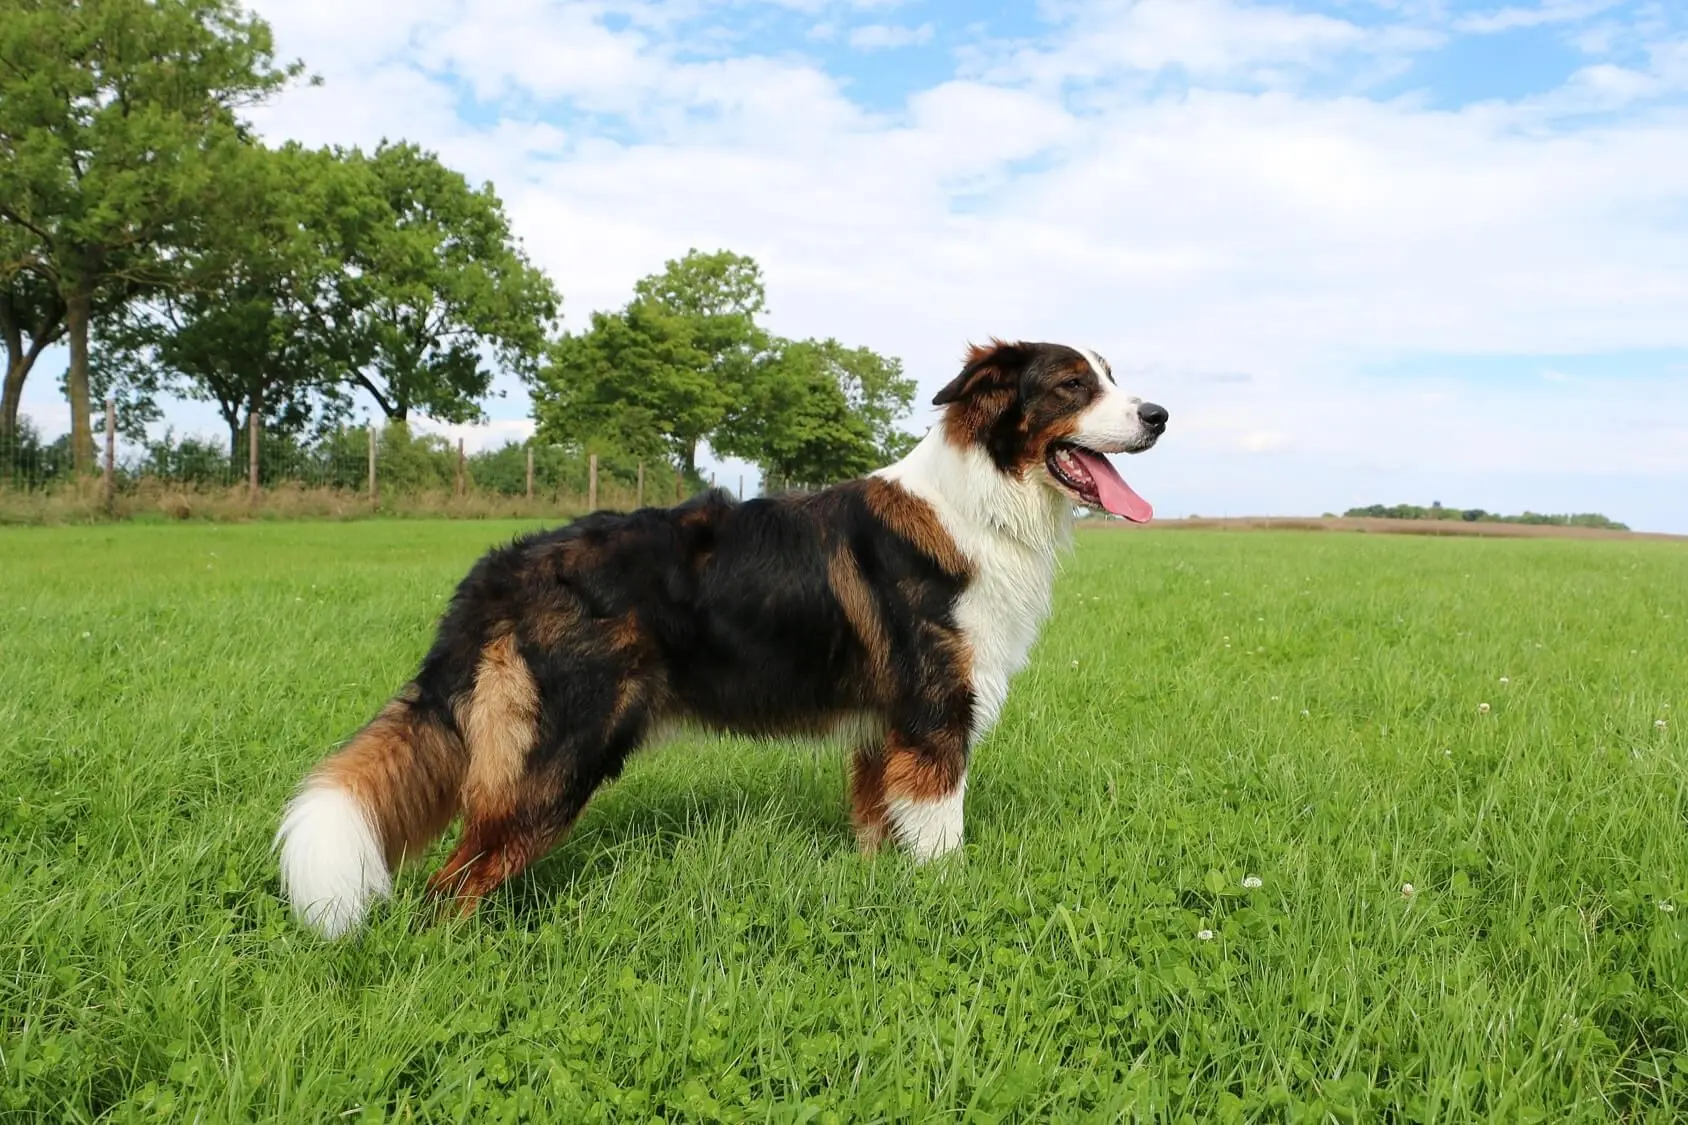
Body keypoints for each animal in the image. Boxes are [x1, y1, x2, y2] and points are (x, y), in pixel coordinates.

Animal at [280, 337, 1174, 932]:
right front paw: (949, 903)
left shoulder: (881, 734)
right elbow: (942, 840)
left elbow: (876, 831)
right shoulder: (934, 722)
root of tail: (497, 572)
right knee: (452, 884)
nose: (1160, 414)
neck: (984, 500)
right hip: (556, 757)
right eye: (1072, 384)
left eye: (1114, 378)